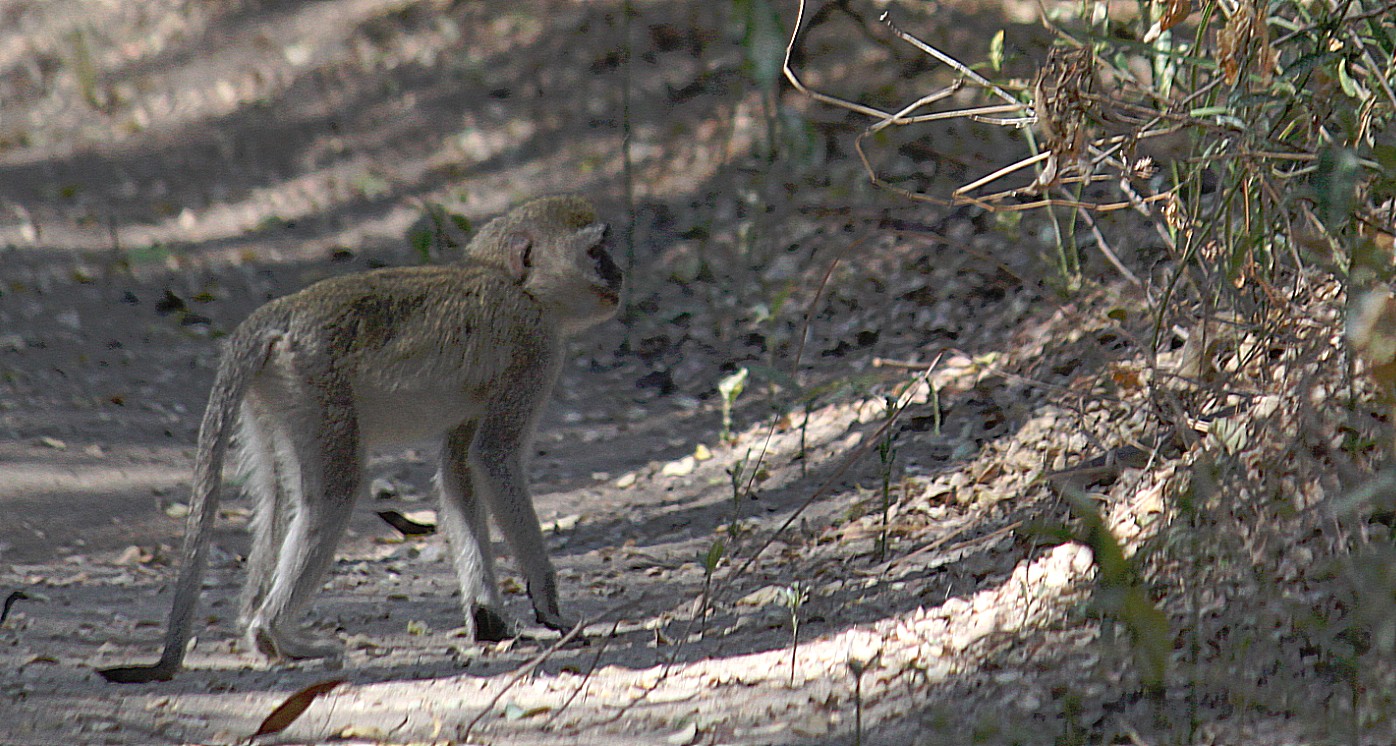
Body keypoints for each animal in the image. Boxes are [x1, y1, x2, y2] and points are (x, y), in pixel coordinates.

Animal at [99, 196, 622, 684]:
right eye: (596, 252)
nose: (619, 275)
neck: (516, 284)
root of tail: (287, 311)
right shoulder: (536, 349)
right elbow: (494, 459)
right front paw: (550, 609)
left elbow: (459, 470)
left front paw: (490, 619)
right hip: (314, 383)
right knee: (334, 492)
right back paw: (273, 632)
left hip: (277, 391)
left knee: (278, 494)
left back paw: (259, 630)